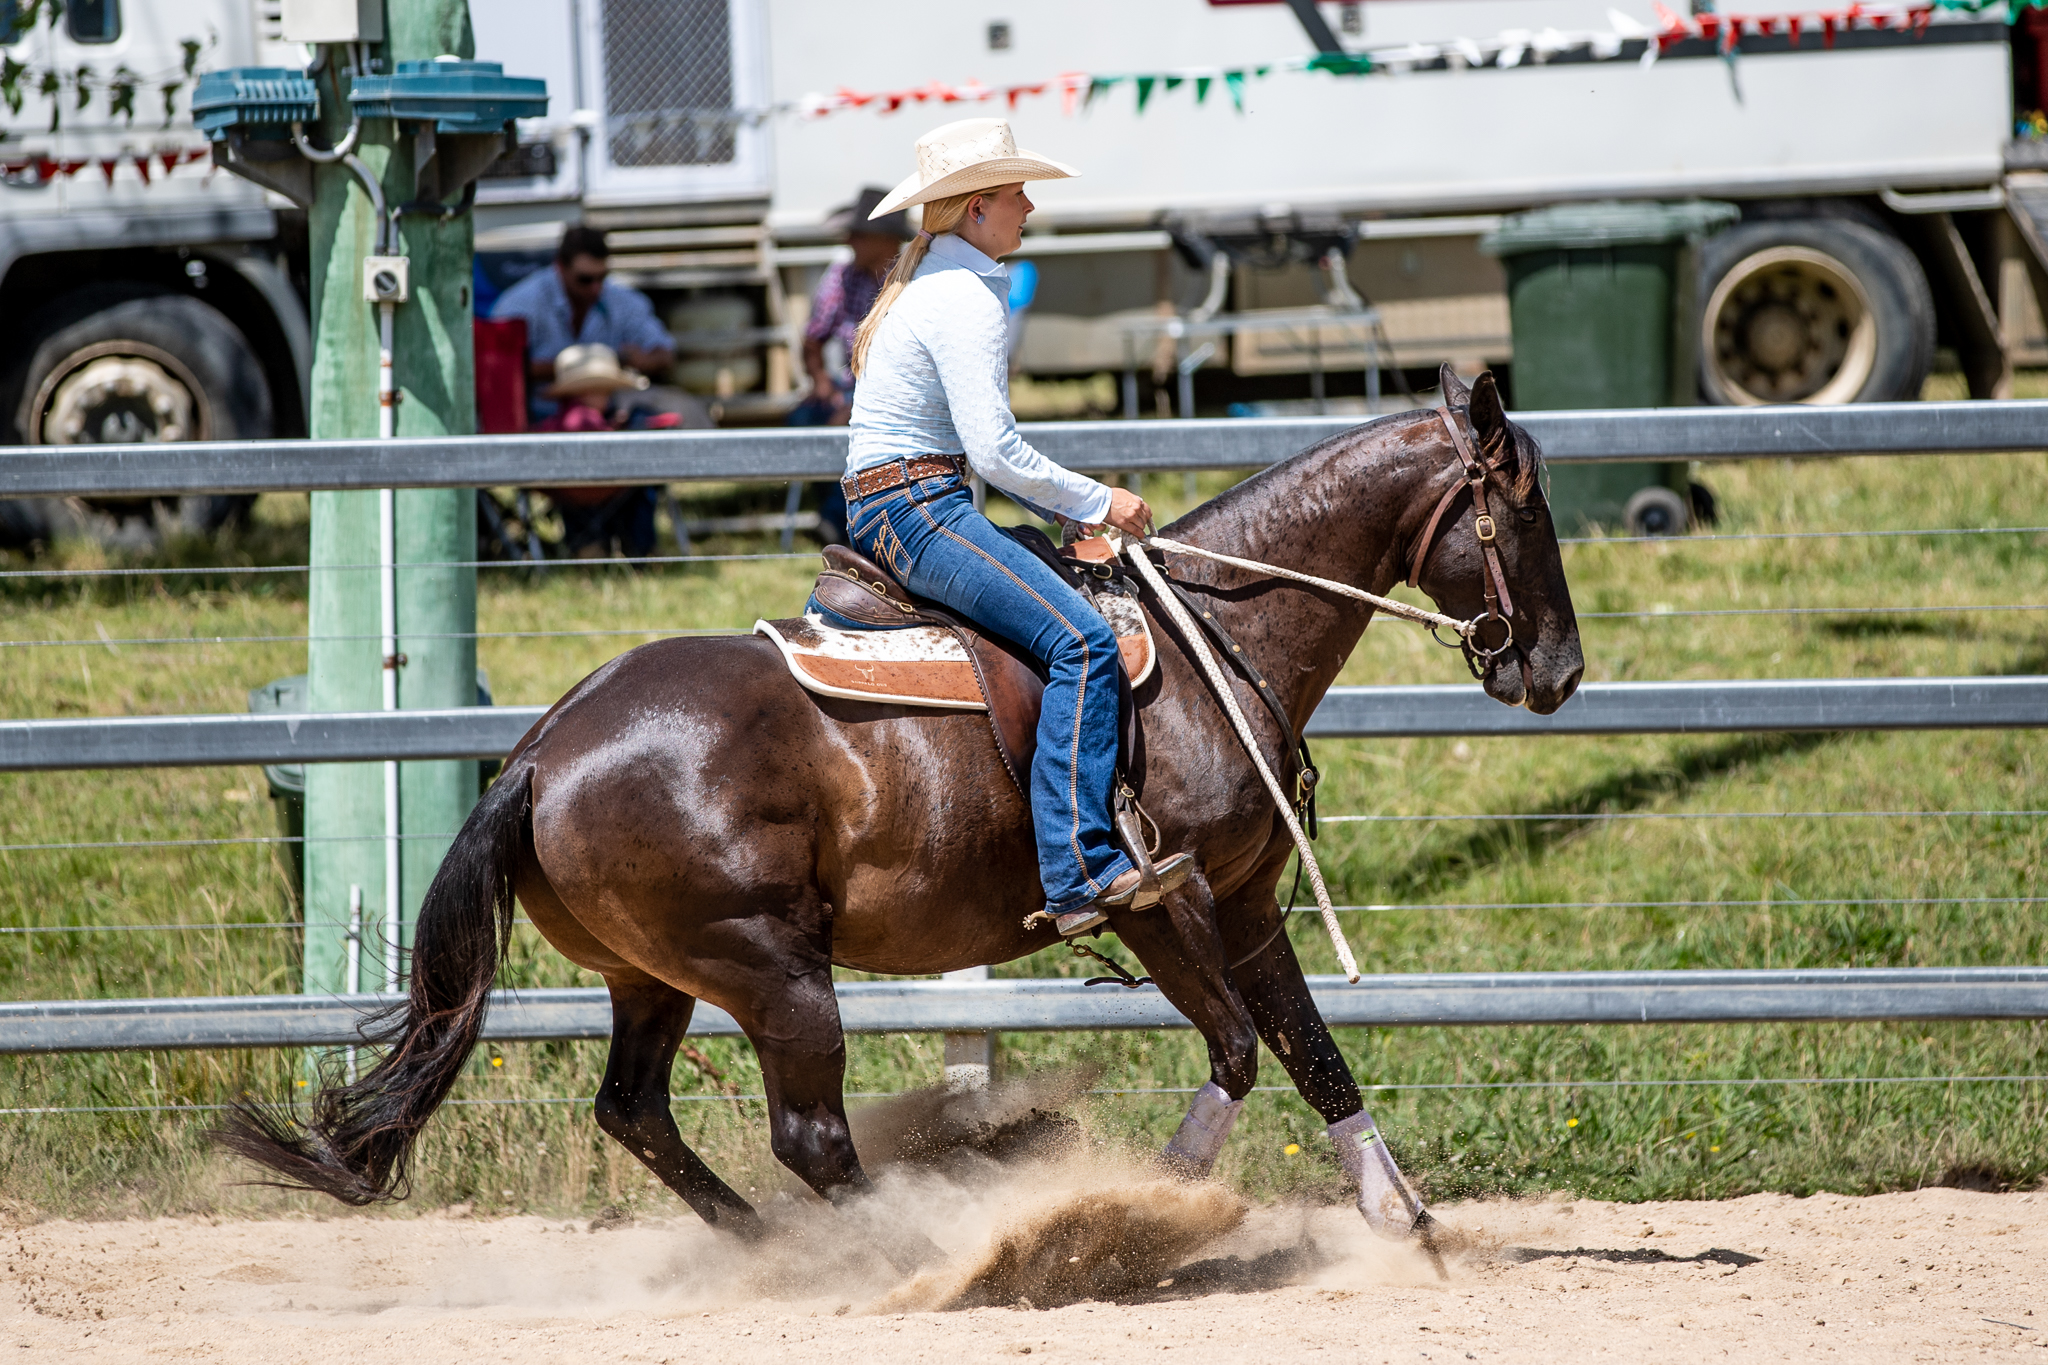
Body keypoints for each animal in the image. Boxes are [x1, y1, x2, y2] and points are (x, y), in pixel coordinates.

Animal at [220, 367, 1583, 1262]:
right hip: (771, 968)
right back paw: (925, 1248)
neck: (1206, 643)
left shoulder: (1247, 902)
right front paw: (1139, 1210)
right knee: (809, 1137)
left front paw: (1398, 1216)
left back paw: (783, 1250)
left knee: (637, 1112)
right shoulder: (1158, 901)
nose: (1556, 671)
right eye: (1525, 508)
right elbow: (1242, 1050)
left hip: (653, 974)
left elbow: (1308, 1050)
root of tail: (542, 752)